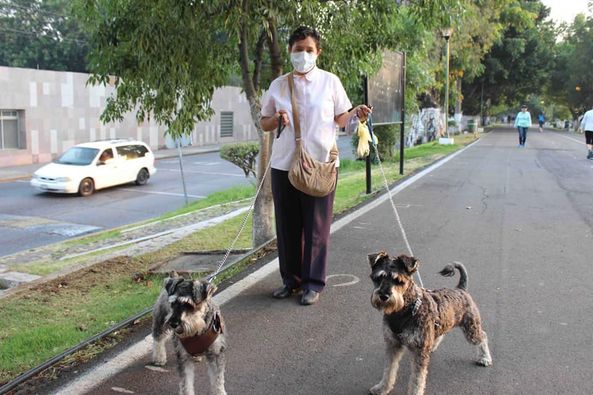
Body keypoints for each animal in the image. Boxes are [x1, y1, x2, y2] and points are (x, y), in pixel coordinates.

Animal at [368, 254, 492, 395]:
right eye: (378, 278)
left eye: (399, 281)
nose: (384, 296)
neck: (405, 309)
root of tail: (461, 289)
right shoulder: (393, 344)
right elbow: (389, 370)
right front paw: (382, 388)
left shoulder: (420, 351)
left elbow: (417, 379)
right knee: (441, 334)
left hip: (471, 328)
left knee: (483, 336)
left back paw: (485, 358)